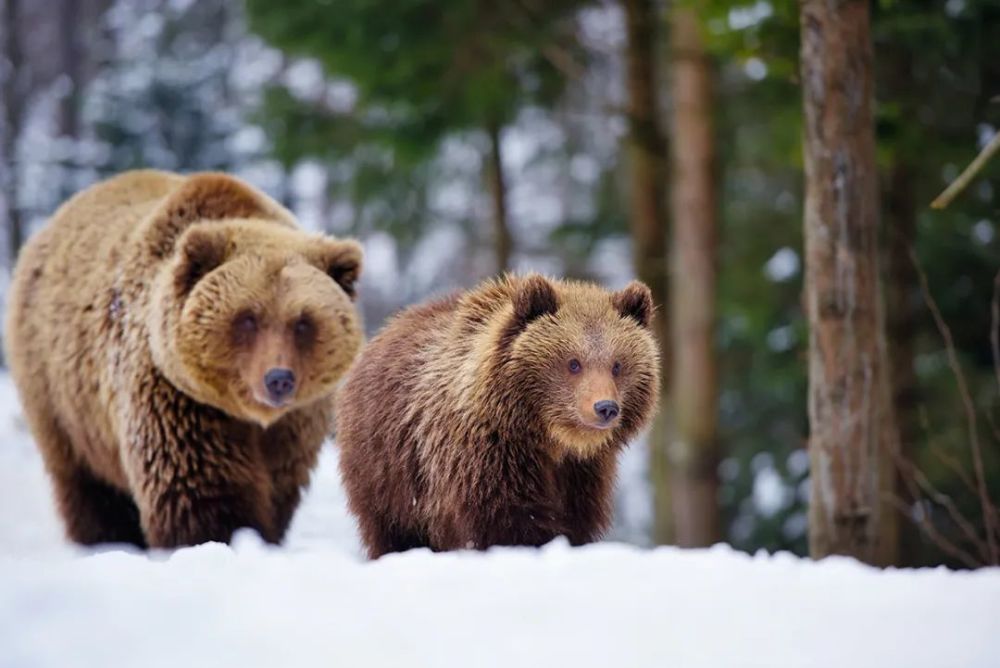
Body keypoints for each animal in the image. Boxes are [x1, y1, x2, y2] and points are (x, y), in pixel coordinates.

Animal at [4, 168, 364, 548]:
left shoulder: (295, 426)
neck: (248, 416)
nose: (278, 378)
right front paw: (217, 535)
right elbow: (200, 484)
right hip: (60, 398)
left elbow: (280, 483)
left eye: (303, 322)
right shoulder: (175, 398)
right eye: (247, 318)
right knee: (88, 485)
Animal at [338, 272, 664, 560]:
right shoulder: (486, 460)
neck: (548, 439)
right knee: (392, 529)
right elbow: (508, 520)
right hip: (387, 469)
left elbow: (576, 522)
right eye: (573, 363)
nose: (605, 407)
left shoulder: (583, 473)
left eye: (617, 365)